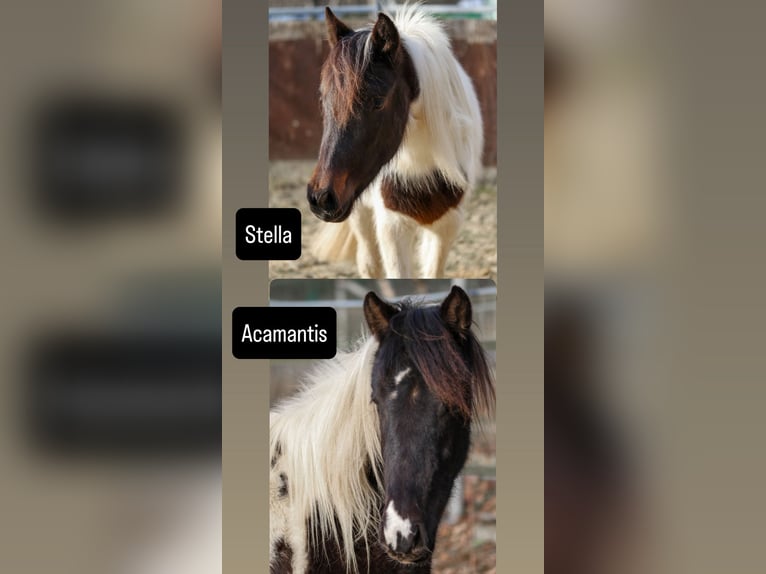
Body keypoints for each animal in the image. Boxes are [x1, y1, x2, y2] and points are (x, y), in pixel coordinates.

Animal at [307, 4, 484, 279]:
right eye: (324, 97)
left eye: (378, 101)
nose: (321, 198)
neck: (424, 165)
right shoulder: (391, 227)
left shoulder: (446, 227)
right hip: (359, 213)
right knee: (369, 264)